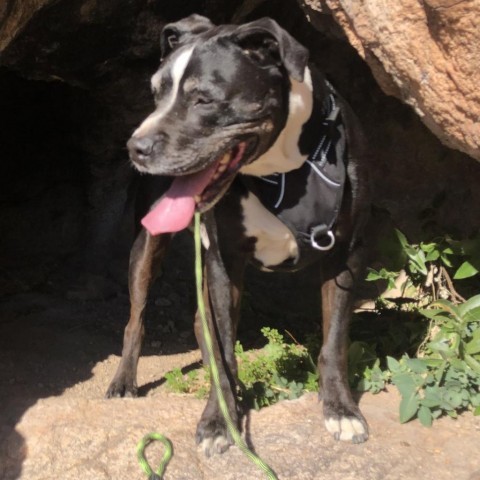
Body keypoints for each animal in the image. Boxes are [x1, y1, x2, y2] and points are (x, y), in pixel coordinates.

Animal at [108, 15, 372, 456]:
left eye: (204, 99)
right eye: (156, 94)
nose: (135, 147)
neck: (281, 171)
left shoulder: (345, 256)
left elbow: (334, 342)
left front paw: (341, 410)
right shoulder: (223, 260)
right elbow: (224, 350)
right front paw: (219, 420)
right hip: (148, 245)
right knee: (137, 318)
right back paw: (124, 380)